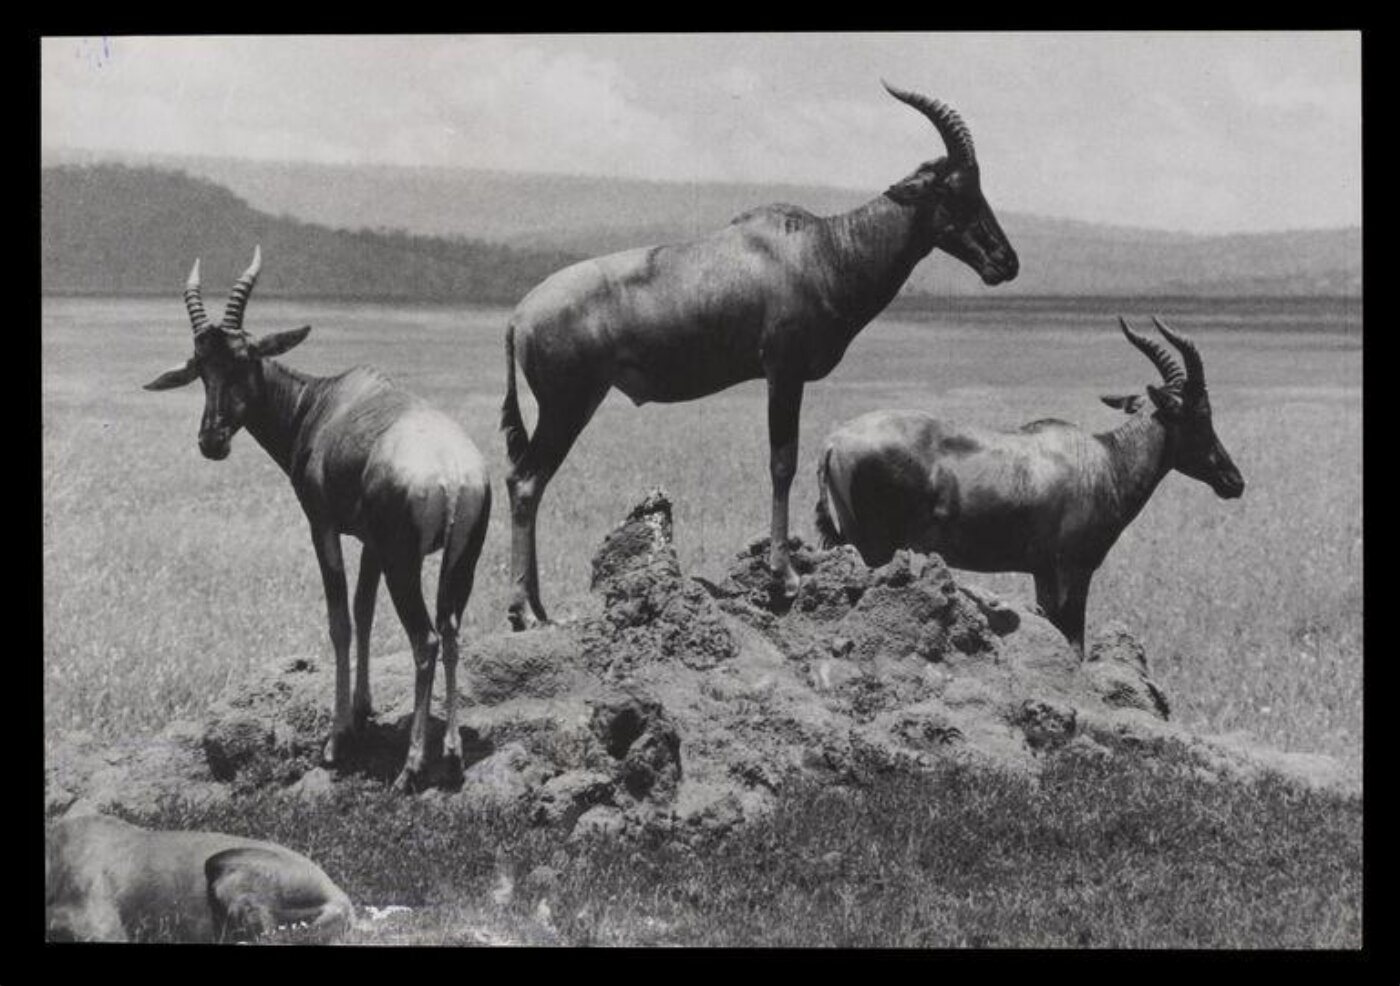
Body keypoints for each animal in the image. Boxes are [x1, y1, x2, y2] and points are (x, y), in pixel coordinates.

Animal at [143, 248, 491, 791]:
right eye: (201, 367)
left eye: (244, 359)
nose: (212, 441)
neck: (325, 402)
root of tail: (453, 472)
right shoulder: (370, 542)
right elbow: (364, 611)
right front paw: (363, 710)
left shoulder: (323, 526)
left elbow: (340, 621)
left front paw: (336, 739)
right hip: (462, 559)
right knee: (452, 631)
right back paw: (452, 758)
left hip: (405, 563)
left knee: (426, 639)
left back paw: (411, 767)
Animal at [500, 83, 1019, 629]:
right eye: (955, 188)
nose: (1005, 262)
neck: (819, 249)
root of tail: (519, 316)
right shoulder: (783, 371)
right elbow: (782, 462)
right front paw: (785, 576)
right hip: (568, 404)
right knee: (526, 481)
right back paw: (525, 611)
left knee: (528, 479)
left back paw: (538, 609)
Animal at [815, 317, 1245, 655]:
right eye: (1200, 414)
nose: (1233, 481)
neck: (1102, 460)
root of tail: (834, 441)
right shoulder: (1073, 569)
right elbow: (1074, 641)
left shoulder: (1042, 572)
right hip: (876, 547)